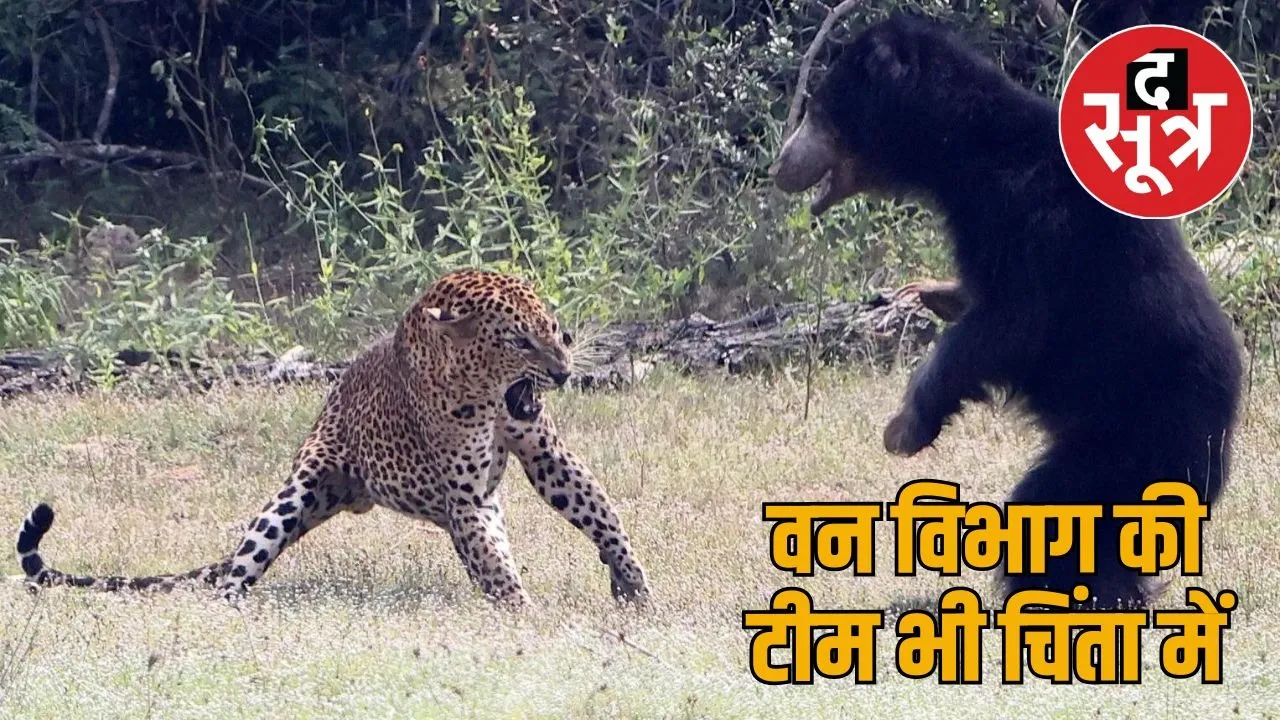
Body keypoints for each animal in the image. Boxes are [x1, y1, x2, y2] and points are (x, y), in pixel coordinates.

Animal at [15, 268, 650, 609]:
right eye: (519, 341)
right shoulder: (466, 495)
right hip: (297, 491)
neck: (482, 388)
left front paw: (635, 589)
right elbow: (496, 565)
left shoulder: (543, 453)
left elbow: (600, 514)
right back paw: (231, 612)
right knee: (239, 567)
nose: (564, 373)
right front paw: (526, 617)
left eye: (557, 331)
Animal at [770, 13, 1242, 609]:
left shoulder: (1028, 218)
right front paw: (926, 290)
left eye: (817, 109)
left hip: (1138, 433)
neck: (963, 152)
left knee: (1057, 510)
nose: (779, 166)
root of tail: (1224, 429)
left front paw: (904, 428)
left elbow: (1011, 322)